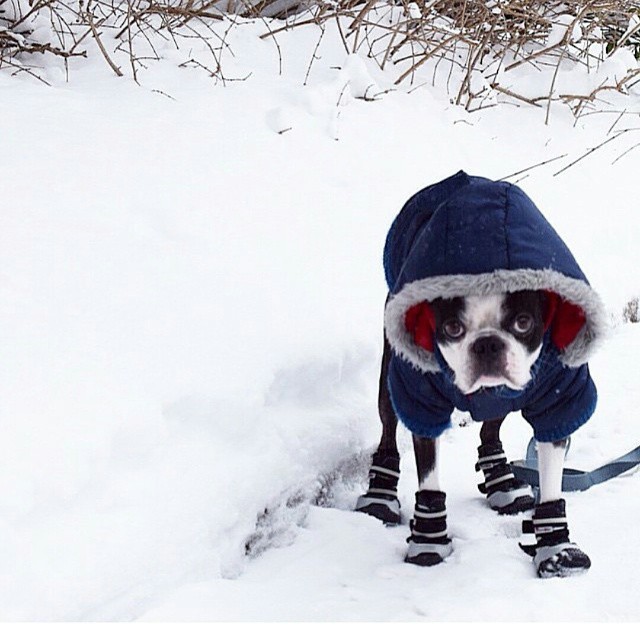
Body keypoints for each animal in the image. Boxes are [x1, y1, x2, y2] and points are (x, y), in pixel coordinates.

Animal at [356, 171, 608, 580]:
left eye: (523, 323)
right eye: (452, 328)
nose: (487, 344)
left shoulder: (557, 400)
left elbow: (552, 479)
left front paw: (557, 548)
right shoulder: (421, 400)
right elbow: (428, 475)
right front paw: (429, 542)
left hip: (504, 399)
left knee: (491, 428)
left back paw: (501, 480)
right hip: (391, 376)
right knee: (388, 428)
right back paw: (380, 495)